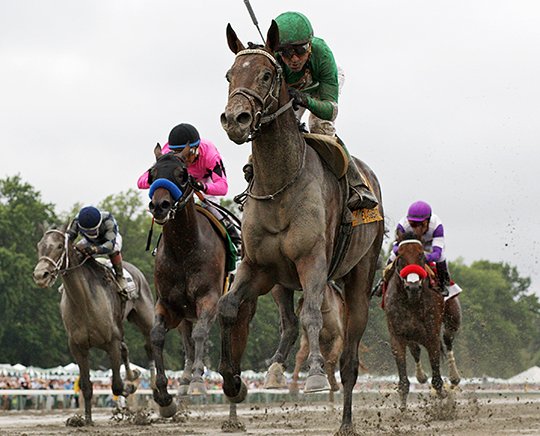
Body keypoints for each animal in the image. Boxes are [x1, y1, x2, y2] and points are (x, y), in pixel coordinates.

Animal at [33, 227, 156, 424]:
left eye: (59, 246)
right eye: (39, 246)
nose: (40, 275)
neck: (84, 303)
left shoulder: (112, 343)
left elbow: (116, 385)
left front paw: (130, 387)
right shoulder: (78, 347)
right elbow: (86, 386)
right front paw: (87, 420)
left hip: (144, 318)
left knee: (150, 345)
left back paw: (157, 388)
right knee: (126, 349)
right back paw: (133, 375)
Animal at [219, 21, 384, 436]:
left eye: (266, 74)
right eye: (230, 74)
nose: (235, 119)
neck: (280, 183)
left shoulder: (313, 262)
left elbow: (312, 315)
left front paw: (313, 378)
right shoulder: (258, 268)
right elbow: (228, 308)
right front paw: (232, 380)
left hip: (360, 274)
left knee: (349, 358)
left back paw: (345, 421)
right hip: (280, 282)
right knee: (288, 323)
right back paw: (274, 373)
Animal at [384, 233, 460, 410]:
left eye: (421, 256)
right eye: (400, 257)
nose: (413, 286)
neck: (412, 301)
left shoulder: (431, 336)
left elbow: (437, 380)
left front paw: (442, 400)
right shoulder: (397, 337)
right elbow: (403, 381)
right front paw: (402, 410)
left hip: (453, 318)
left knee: (448, 340)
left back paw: (454, 377)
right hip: (412, 335)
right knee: (416, 350)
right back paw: (421, 376)